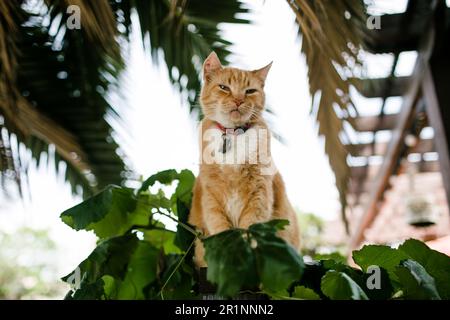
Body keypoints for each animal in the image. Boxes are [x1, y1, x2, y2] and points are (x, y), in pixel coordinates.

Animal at [189, 52, 298, 268]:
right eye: (224, 87)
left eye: (250, 91)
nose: (238, 100)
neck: (233, 134)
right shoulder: (212, 198)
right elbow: (223, 232)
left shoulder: (259, 194)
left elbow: (250, 229)